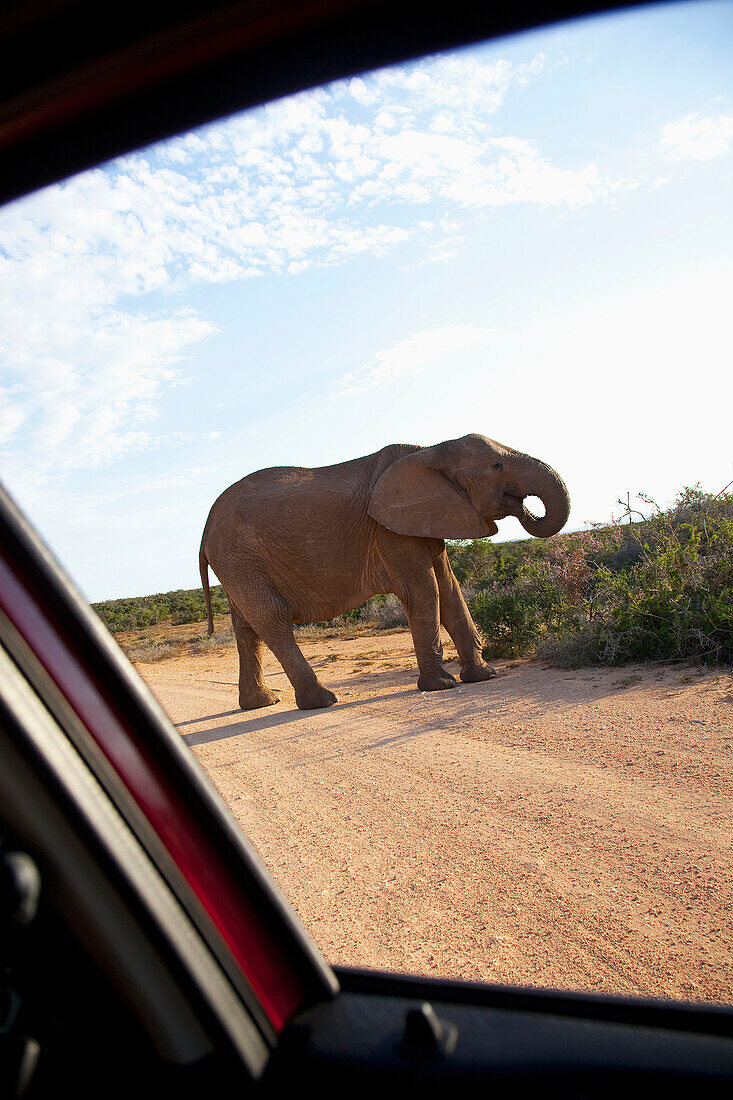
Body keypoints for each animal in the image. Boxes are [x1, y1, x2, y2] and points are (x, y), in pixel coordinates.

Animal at [200, 433, 572, 708]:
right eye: (497, 465)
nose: (523, 507)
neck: (430, 452)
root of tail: (204, 532)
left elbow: (450, 590)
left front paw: (484, 676)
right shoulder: (390, 531)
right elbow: (424, 591)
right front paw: (441, 686)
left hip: (236, 564)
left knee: (246, 628)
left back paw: (261, 704)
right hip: (240, 558)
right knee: (272, 619)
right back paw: (322, 701)